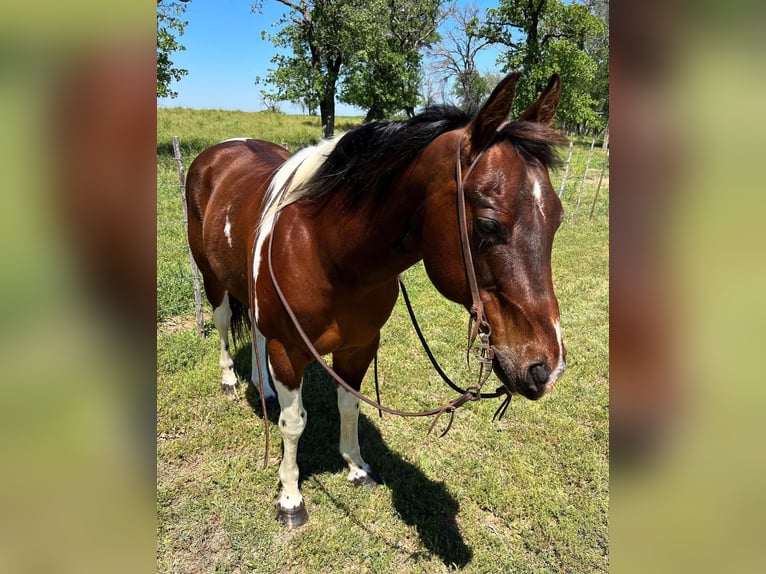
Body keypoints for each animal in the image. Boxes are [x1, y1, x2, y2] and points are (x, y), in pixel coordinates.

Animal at [186, 73, 568, 532]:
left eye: (558, 219)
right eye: (488, 225)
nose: (546, 367)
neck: (326, 251)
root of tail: (218, 151)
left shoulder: (360, 345)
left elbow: (349, 403)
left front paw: (356, 468)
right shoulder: (288, 349)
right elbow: (293, 424)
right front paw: (291, 498)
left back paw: (265, 389)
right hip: (213, 280)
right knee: (225, 324)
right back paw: (230, 380)